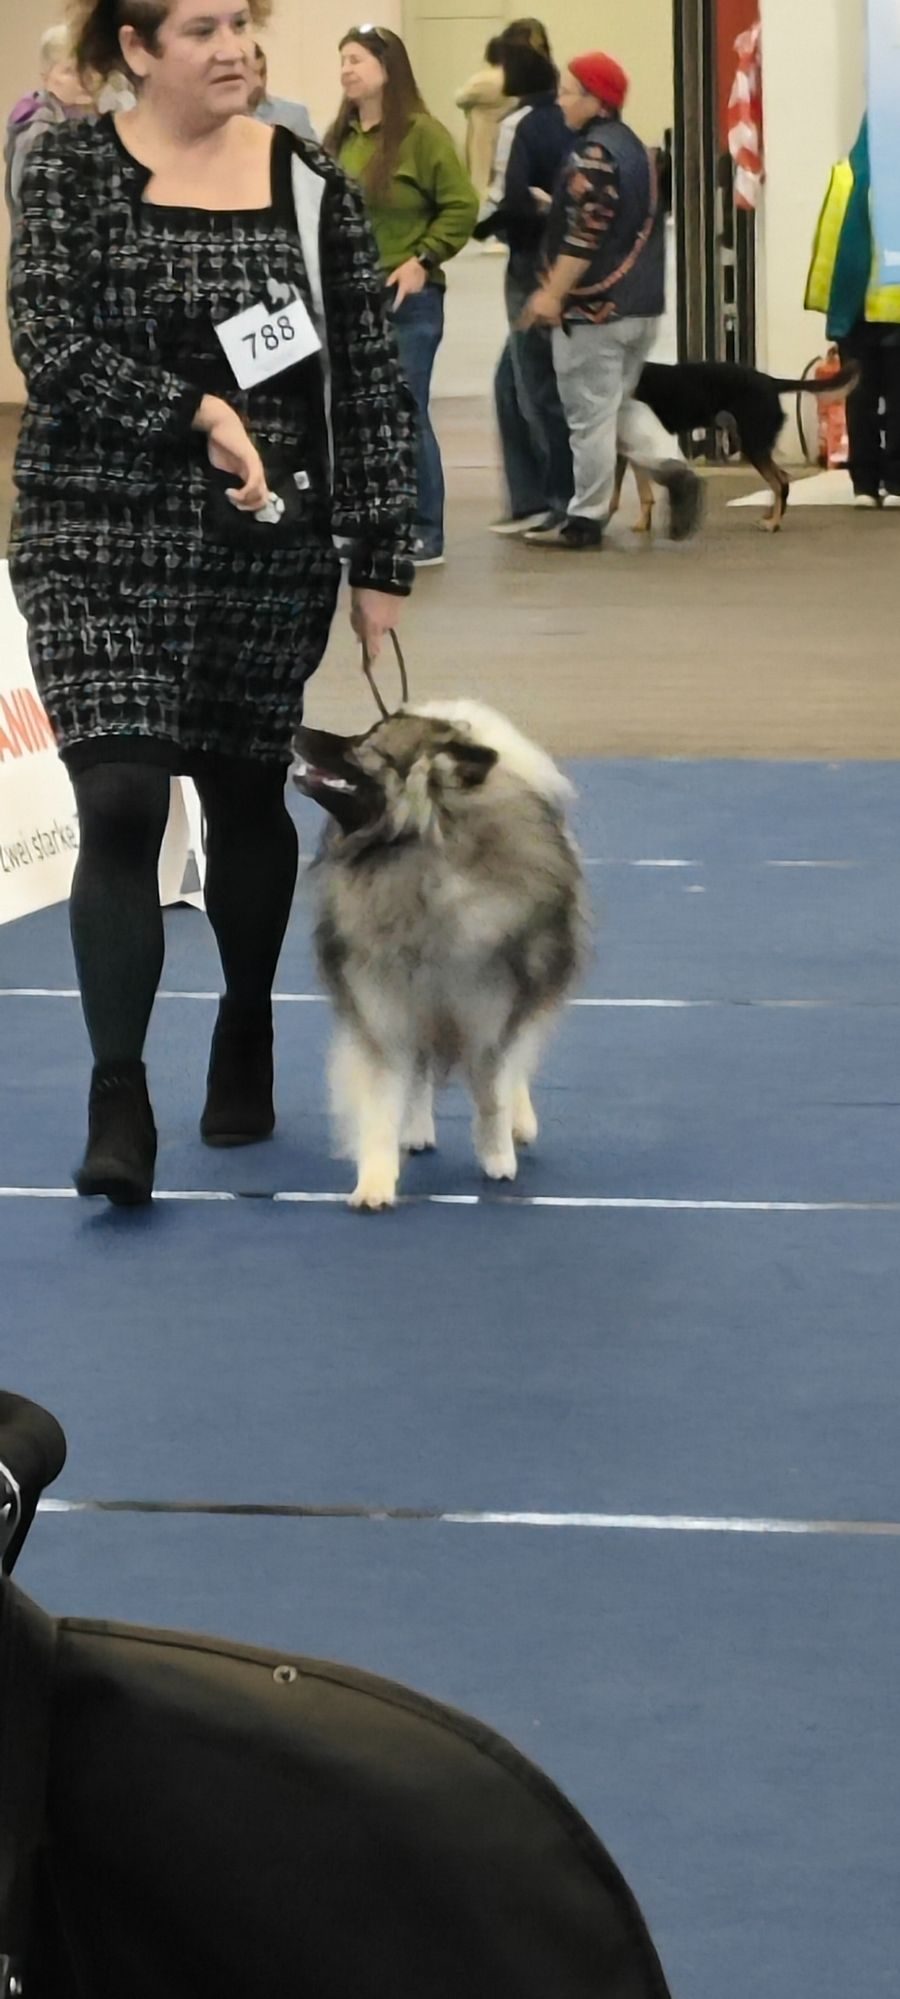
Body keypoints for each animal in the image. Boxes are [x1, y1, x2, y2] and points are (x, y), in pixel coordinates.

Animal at [293, 701, 588, 1211]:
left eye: (367, 744)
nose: (294, 729)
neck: (416, 856)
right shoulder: (386, 1007)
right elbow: (382, 1101)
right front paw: (375, 1182)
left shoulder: (489, 1009)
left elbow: (492, 1090)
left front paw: (498, 1156)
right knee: (420, 1075)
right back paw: (416, 1130)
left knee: (517, 1063)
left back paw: (519, 1123)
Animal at [611, 357, 859, 533]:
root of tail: (770, 381)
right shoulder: (629, 449)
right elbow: (639, 492)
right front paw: (641, 523)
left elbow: (622, 492)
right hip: (754, 444)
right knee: (782, 480)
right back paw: (771, 516)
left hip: (752, 444)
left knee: (779, 483)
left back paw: (773, 524)